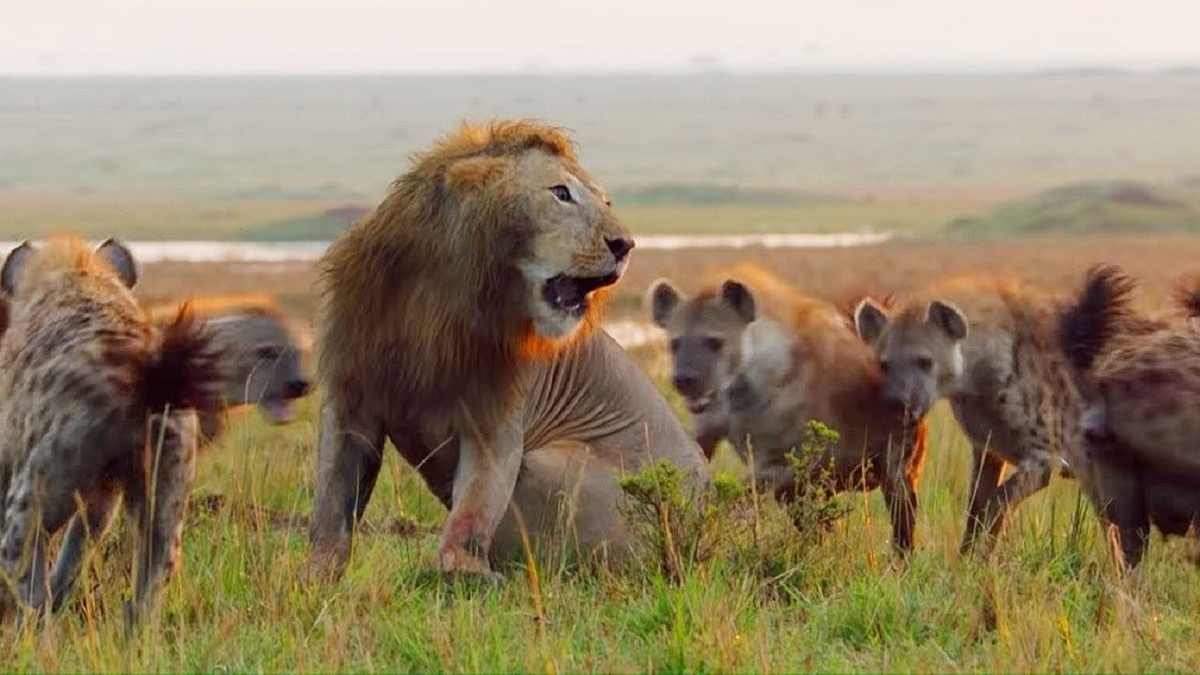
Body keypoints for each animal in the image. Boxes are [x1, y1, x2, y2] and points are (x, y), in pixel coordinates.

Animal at [304, 118, 710, 576]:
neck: (438, 298)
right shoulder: (350, 400)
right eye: (561, 194)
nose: (625, 244)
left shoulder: (496, 420)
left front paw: (464, 570)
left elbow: (474, 508)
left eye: (606, 201)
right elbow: (331, 509)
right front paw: (314, 579)